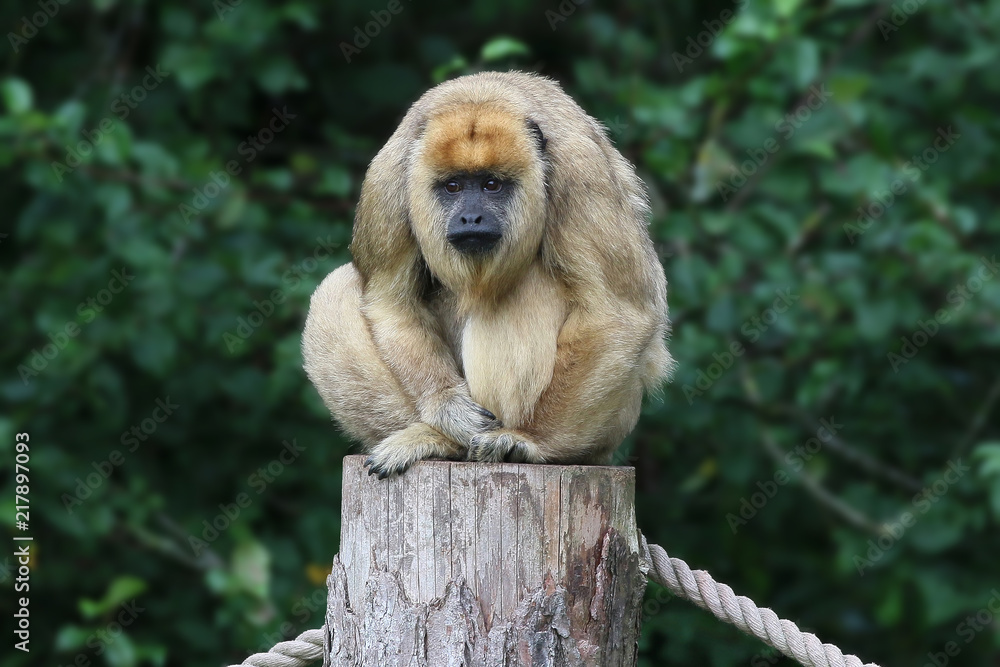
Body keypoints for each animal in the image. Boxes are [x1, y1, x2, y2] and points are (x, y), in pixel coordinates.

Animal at [302, 71, 673, 478]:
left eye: (491, 184)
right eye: (453, 186)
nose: (471, 218)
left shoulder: (581, 171)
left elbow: (619, 313)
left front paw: (531, 441)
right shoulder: (388, 175)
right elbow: (389, 302)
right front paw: (447, 406)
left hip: (610, 427)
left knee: (523, 287)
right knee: (335, 290)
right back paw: (438, 438)